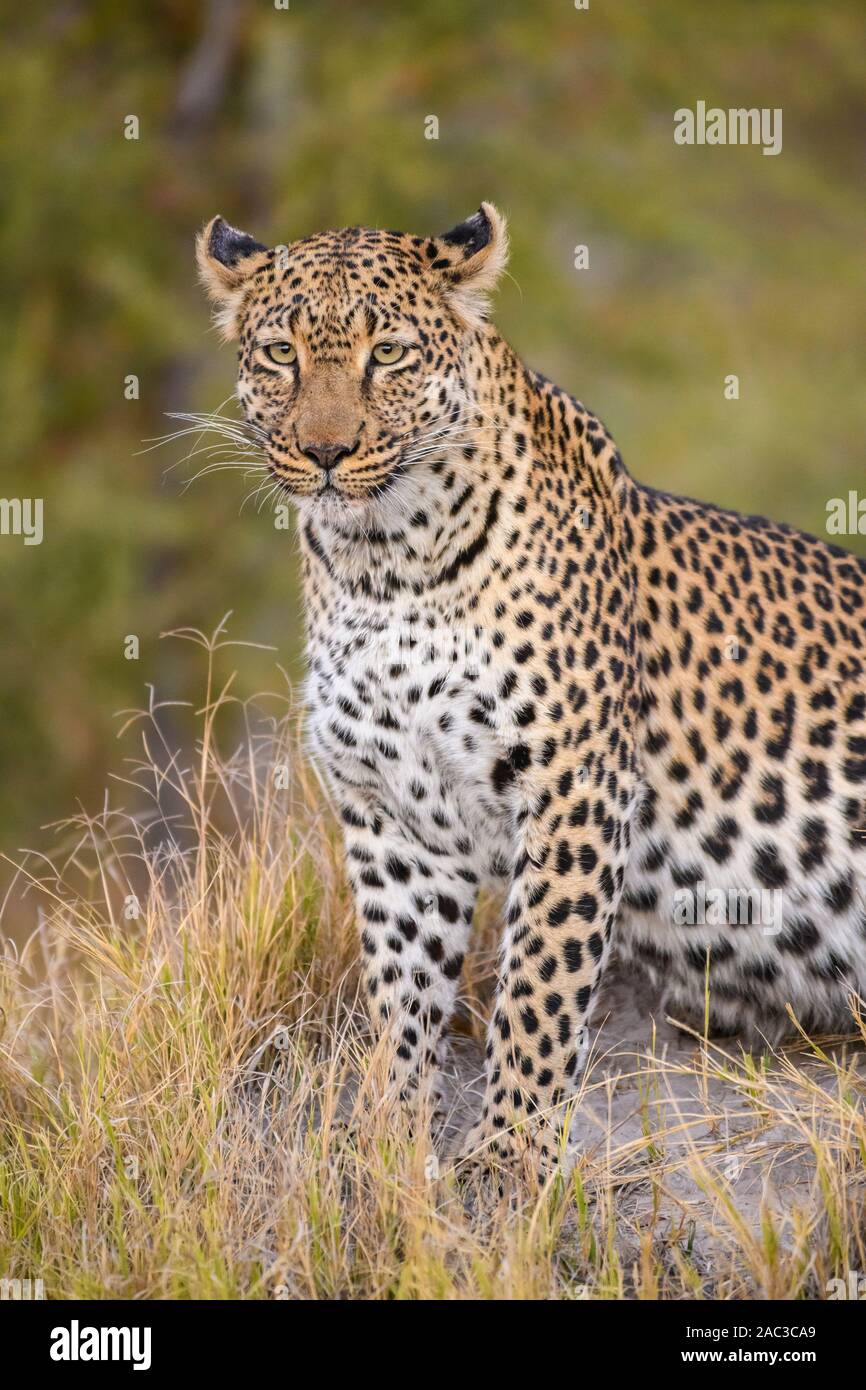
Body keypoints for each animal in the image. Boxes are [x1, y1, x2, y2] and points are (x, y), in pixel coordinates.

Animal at [196, 203, 866, 1182]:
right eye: (281, 352)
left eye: (387, 353)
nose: (325, 451)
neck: (381, 569)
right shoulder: (392, 816)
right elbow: (401, 990)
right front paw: (387, 1136)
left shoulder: (573, 785)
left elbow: (540, 985)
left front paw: (507, 1156)